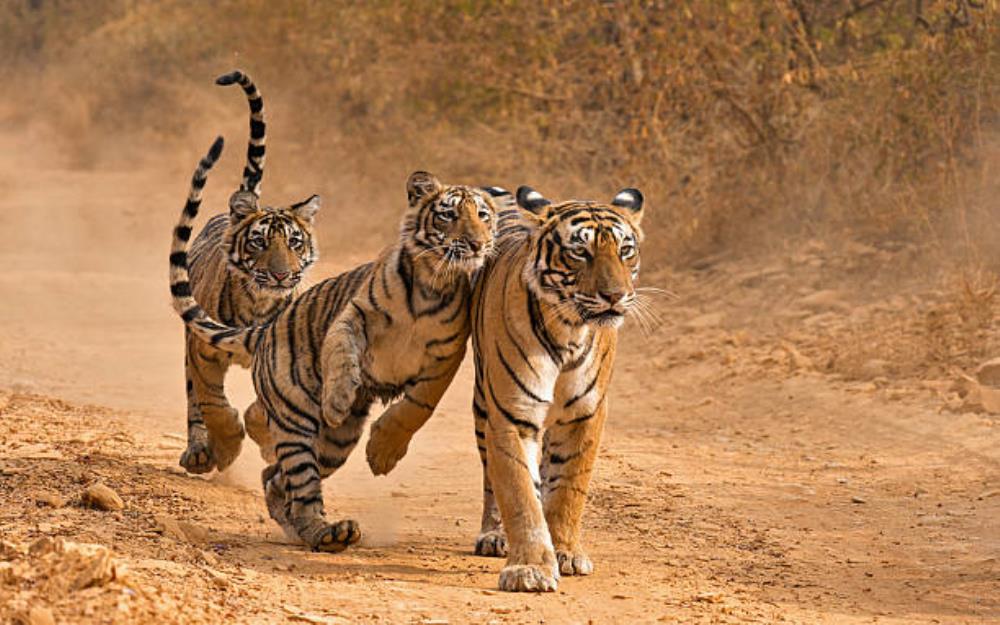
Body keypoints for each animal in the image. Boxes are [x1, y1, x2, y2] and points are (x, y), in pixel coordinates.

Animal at [170, 136, 505, 552]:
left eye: (483, 215)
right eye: (448, 215)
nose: (477, 243)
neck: (431, 283)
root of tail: (265, 330)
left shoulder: (447, 355)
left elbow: (418, 406)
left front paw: (382, 454)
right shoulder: (353, 315)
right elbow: (342, 353)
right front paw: (337, 400)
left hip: (335, 444)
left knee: (276, 479)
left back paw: (317, 530)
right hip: (297, 422)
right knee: (297, 481)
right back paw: (326, 532)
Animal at [177, 70, 321, 476]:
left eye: (294, 242)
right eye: (259, 242)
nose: (281, 276)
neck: (258, 303)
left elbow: (264, 409)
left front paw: (265, 440)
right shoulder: (202, 349)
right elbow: (212, 403)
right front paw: (225, 448)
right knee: (194, 400)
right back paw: (199, 452)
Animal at [366, 184, 646, 592]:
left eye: (625, 250)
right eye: (580, 251)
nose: (615, 296)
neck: (569, 331)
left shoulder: (585, 414)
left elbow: (569, 487)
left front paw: (565, 551)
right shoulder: (512, 412)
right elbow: (518, 492)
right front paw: (530, 567)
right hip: (484, 403)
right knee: (492, 477)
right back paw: (495, 535)